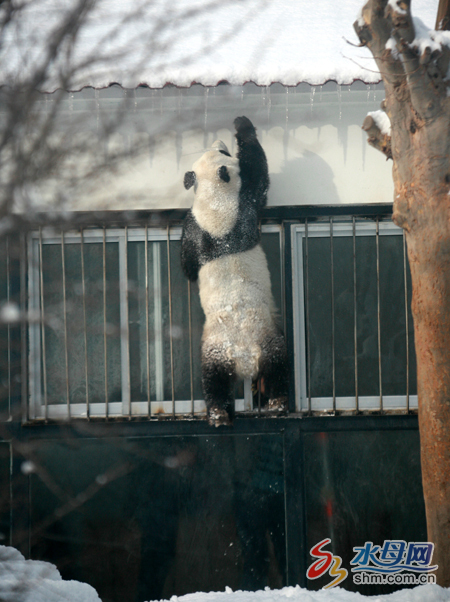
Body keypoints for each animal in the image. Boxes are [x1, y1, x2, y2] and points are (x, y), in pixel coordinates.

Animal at [180, 116, 288, 426]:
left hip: (251, 341)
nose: (219, 142)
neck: (215, 199)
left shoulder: (231, 213)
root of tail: (244, 358)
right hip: (226, 345)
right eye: (224, 152)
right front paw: (243, 125)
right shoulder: (231, 209)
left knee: (222, 379)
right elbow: (259, 174)